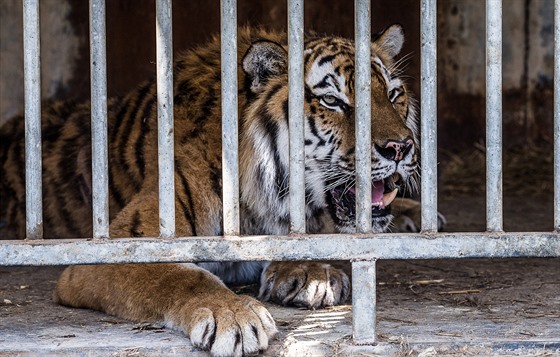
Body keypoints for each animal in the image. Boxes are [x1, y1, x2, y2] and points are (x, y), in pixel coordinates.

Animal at [0, 25, 442, 356]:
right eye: (332, 100)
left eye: (394, 95)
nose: (400, 148)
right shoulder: (115, 246)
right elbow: (180, 276)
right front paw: (233, 314)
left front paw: (310, 273)